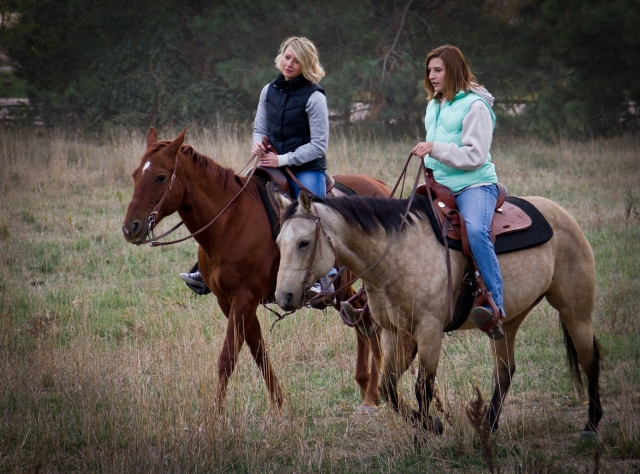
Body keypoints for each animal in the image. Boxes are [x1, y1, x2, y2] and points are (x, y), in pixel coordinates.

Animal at [121, 128, 390, 414]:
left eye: (161, 177)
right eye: (135, 175)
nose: (130, 228)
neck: (230, 221)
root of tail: (380, 186)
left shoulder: (244, 299)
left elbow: (228, 357)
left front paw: (216, 416)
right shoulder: (229, 302)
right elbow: (257, 350)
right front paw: (279, 404)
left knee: (370, 321)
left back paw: (371, 394)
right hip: (345, 288)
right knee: (362, 319)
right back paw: (366, 389)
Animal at [274, 190, 602, 437]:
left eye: (304, 242)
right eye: (278, 242)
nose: (284, 297)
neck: (397, 254)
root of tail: (562, 215)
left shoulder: (429, 332)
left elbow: (423, 388)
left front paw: (426, 431)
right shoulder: (395, 332)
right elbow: (389, 388)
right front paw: (430, 424)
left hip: (576, 311)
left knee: (590, 360)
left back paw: (591, 426)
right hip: (507, 321)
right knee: (505, 370)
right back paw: (488, 428)